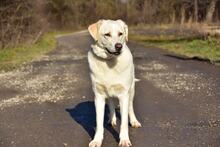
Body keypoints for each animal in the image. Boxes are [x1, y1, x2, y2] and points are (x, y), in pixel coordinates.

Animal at [87, 19, 141, 147]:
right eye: (107, 34)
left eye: (120, 34)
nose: (119, 46)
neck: (109, 61)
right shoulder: (99, 97)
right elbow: (99, 122)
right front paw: (97, 140)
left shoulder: (124, 95)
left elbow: (124, 122)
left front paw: (124, 140)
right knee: (111, 104)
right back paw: (112, 119)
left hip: (131, 90)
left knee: (130, 107)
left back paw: (134, 121)